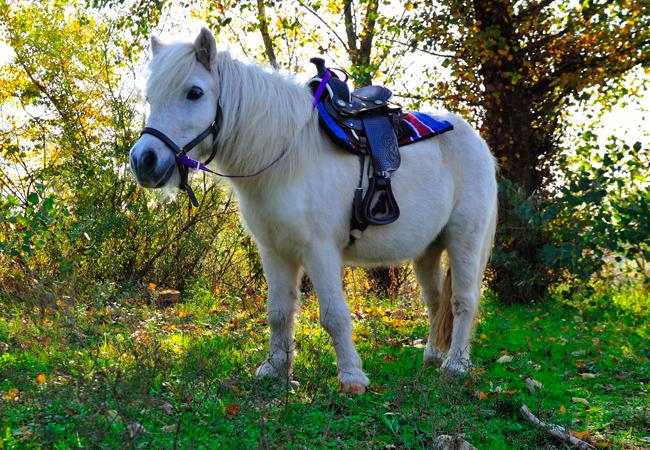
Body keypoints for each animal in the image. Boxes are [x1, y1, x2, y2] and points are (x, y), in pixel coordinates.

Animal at [129, 28, 498, 394]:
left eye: (194, 92)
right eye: (150, 96)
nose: (143, 161)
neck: (286, 156)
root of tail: (477, 141)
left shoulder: (320, 251)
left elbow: (334, 315)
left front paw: (351, 378)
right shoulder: (275, 251)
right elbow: (278, 312)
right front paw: (275, 370)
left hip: (465, 239)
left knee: (462, 301)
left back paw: (455, 366)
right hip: (428, 249)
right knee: (436, 301)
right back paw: (433, 358)